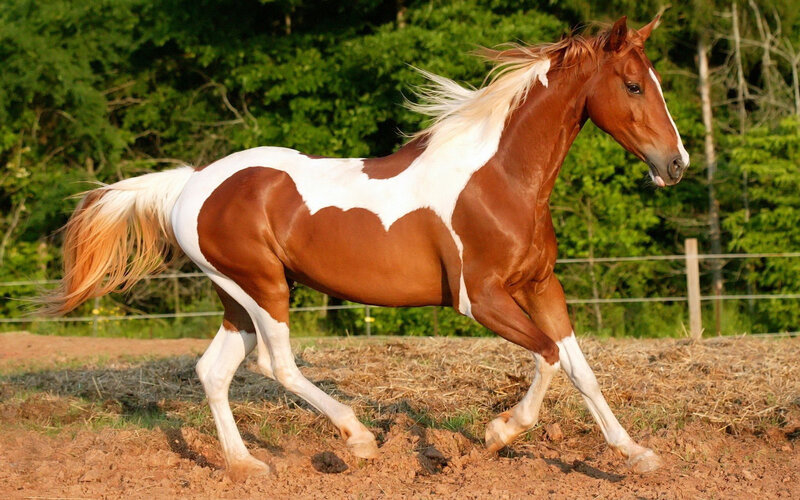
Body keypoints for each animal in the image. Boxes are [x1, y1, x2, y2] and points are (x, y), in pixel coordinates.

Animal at [42, 15, 688, 479]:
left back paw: (247, 465)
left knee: (214, 371)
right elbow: (549, 356)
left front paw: (637, 455)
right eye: (633, 85)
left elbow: (580, 369)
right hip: (263, 288)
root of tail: (191, 182)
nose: (675, 164)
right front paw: (499, 431)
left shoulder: (539, 285)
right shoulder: (480, 298)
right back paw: (358, 439)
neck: (500, 179)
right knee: (276, 364)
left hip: (237, 297)